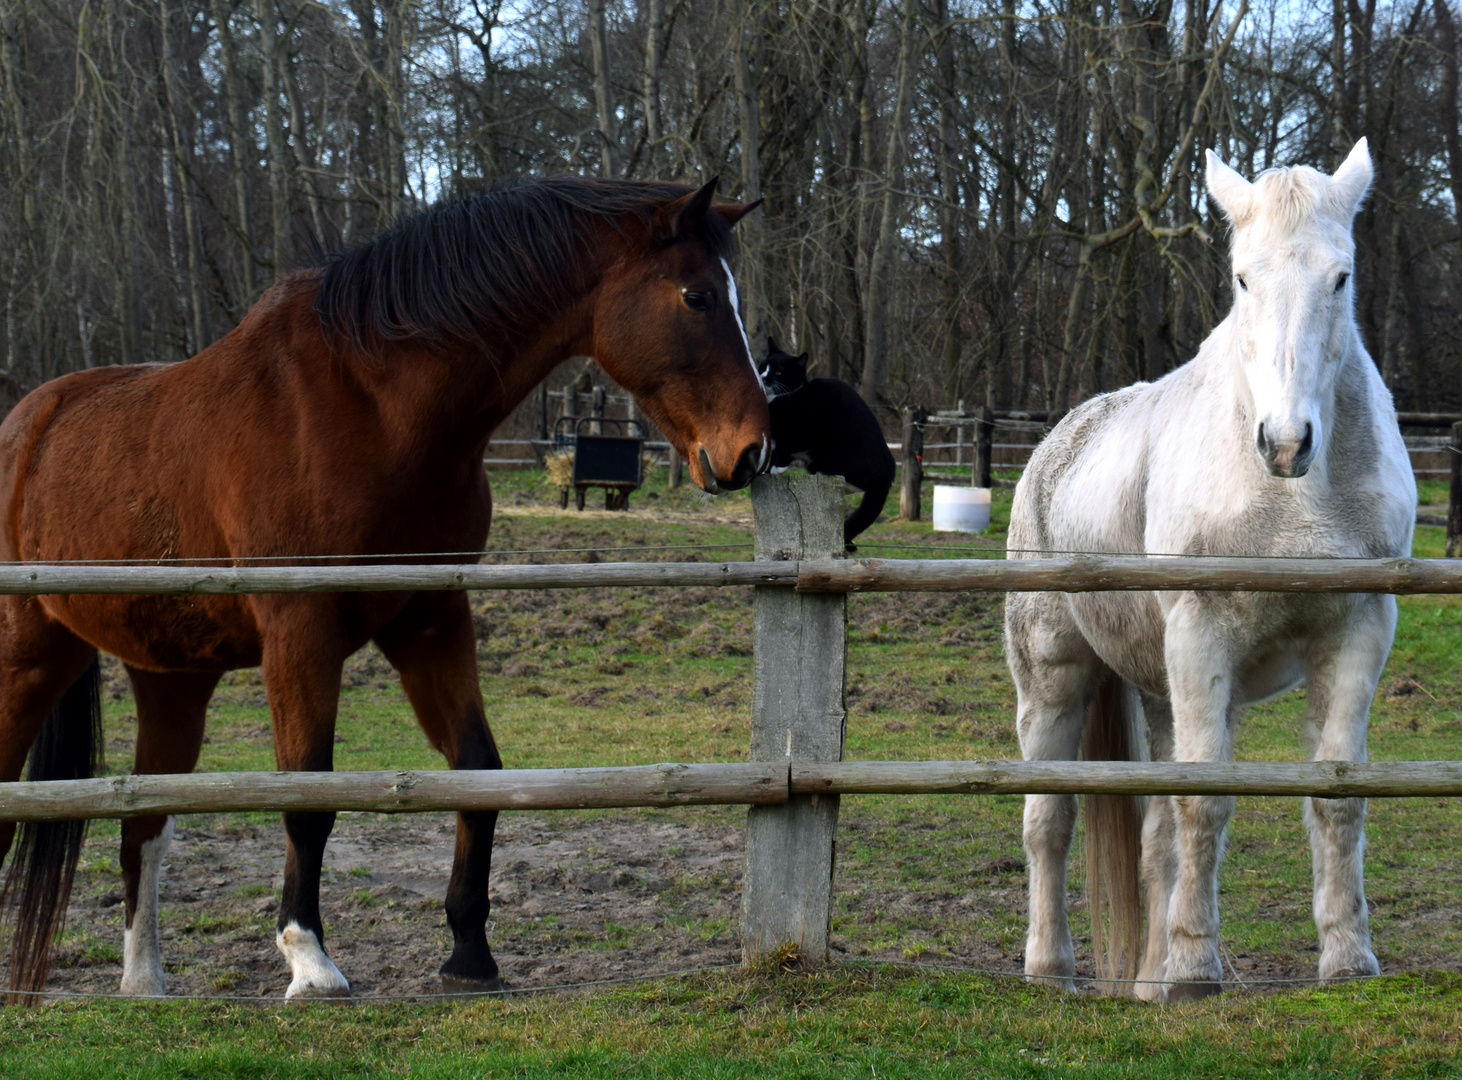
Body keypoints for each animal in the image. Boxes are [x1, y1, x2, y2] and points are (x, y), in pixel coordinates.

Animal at [0, 175, 771, 999]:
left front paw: (469, 953)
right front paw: (310, 959)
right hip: (28, 660)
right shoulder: (301, 631)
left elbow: (478, 773)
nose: (753, 450)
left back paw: (145, 984)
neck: (373, 407)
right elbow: (308, 797)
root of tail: (24, 427)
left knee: (143, 825)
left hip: (171, 678)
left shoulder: (431, 619)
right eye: (696, 296)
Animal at [760, 341, 894, 552]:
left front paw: (777, 468)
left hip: (836, 455)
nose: (764, 376)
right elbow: (774, 449)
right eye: (763, 366)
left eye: (779, 372)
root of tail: (887, 475)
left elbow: (784, 446)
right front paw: (767, 471)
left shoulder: (805, 426)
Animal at [1005, 139, 1415, 999]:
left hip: (1159, 688)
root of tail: (1056, 444)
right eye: (1243, 279)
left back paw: (1150, 982)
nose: (1286, 442)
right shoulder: (1203, 635)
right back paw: (1051, 966)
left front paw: (1347, 959)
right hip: (1055, 677)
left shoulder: (1357, 633)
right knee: (1048, 819)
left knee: (1154, 835)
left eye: (1341, 277)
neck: (1295, 495)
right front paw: (1197, 966)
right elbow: (1205, 801)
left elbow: (1337, 798)